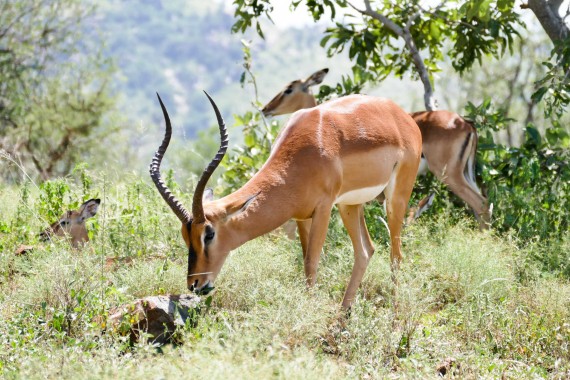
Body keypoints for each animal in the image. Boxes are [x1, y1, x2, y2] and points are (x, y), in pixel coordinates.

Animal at [149, 93, 420, 308]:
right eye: (185, 237)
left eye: (209, 234)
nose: (195, 283)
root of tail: (403, 116)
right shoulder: (302, 216)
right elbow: (305, 262)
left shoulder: (323, 209)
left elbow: (311, 264)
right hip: (350, 205)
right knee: (365, 250)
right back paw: (343, 317)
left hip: (395, 199)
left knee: (396, 256)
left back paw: (395, 316)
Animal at [262, 68, 488, 229]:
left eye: (289, 89)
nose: (266, 109)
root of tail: (467, 124)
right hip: (464, 173)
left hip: (448, 174)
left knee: (480, 204)